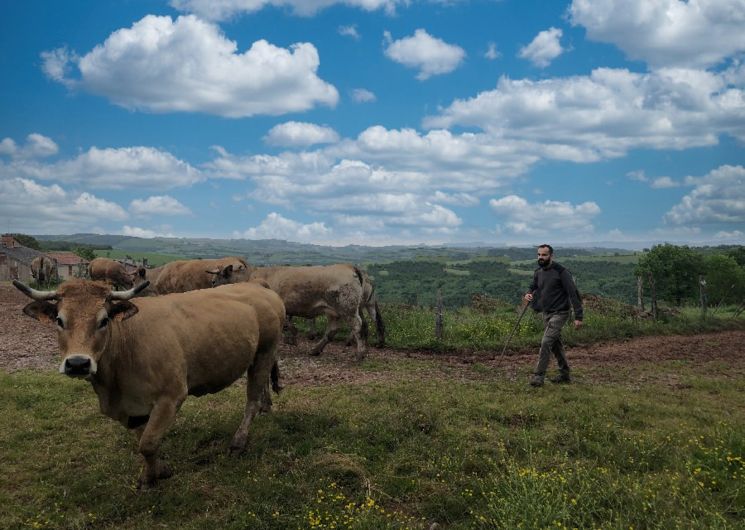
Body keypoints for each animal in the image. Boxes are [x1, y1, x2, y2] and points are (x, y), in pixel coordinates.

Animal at [14, 278, 288, 484]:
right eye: (59, 320)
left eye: (104, 320)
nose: (78, 363)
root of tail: (259, 287)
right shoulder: (130, 409)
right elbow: (141, 438)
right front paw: (154, 472)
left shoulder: (171, 396)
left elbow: (147, 443)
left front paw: (155, 475)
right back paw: (266, 407)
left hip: (265, 351)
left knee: (251, 399)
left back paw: (238, 442)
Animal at [215, 262, 366, 358]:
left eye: (219, 276)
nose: (212, 284)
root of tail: (347, 266)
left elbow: (286, 325)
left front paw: (292, 337)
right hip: (333, 311)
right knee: (332, 331)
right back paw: (315, 350)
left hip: (347, 308)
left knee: (357, 326)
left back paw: (360, 354)